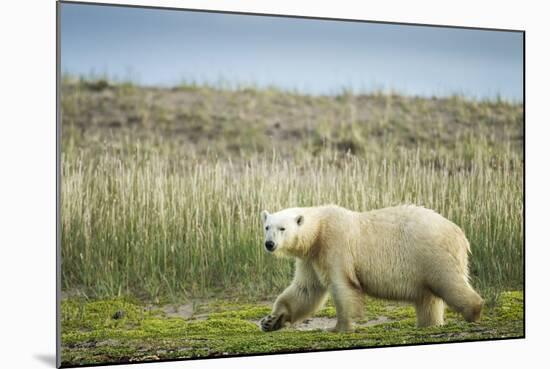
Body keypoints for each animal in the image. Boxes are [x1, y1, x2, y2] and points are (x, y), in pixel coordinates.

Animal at [260, 206, 486, 332]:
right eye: (267, 227)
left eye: (282, 228)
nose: (269, 244)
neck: (318, 230)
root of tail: (459, 233)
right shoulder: (311, 258)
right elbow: (305, 289)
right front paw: (271, 320)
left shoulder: (335, 244)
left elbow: (343, 286)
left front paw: (339, 327)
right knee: (428, 299)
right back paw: (428, 324)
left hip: (431, 253)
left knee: (448, 282)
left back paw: (473, 312)